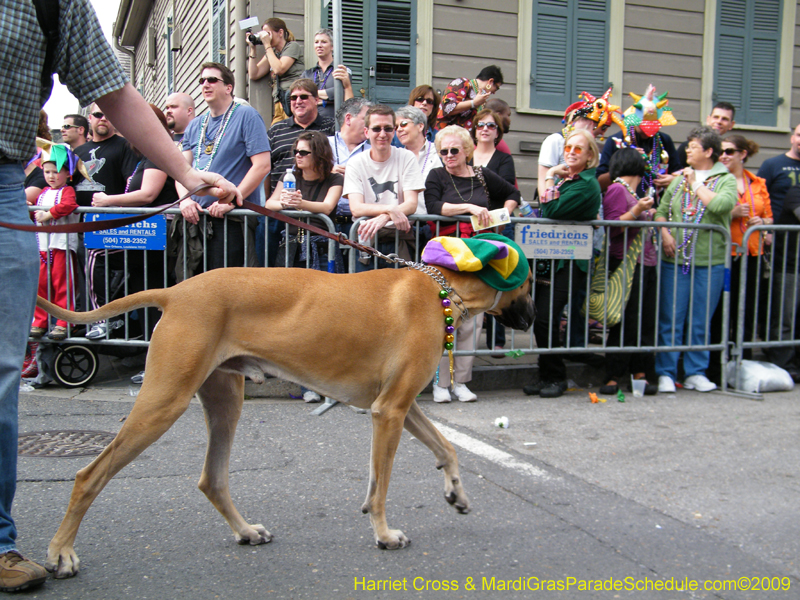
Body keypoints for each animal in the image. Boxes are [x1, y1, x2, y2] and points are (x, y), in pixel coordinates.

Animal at [39, 266, 536, 576]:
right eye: (530, 281)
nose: (532, 318)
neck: (443, 289)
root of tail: (176, 291)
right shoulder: (391, 410)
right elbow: (383, 487)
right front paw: (383, 534)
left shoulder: (400, 407)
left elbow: (443, 448)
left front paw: (456, 492)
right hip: (163, 404)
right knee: (89, 476)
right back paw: (61, 553)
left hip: (225, 402)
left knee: (212, 479)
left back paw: (245, 531)